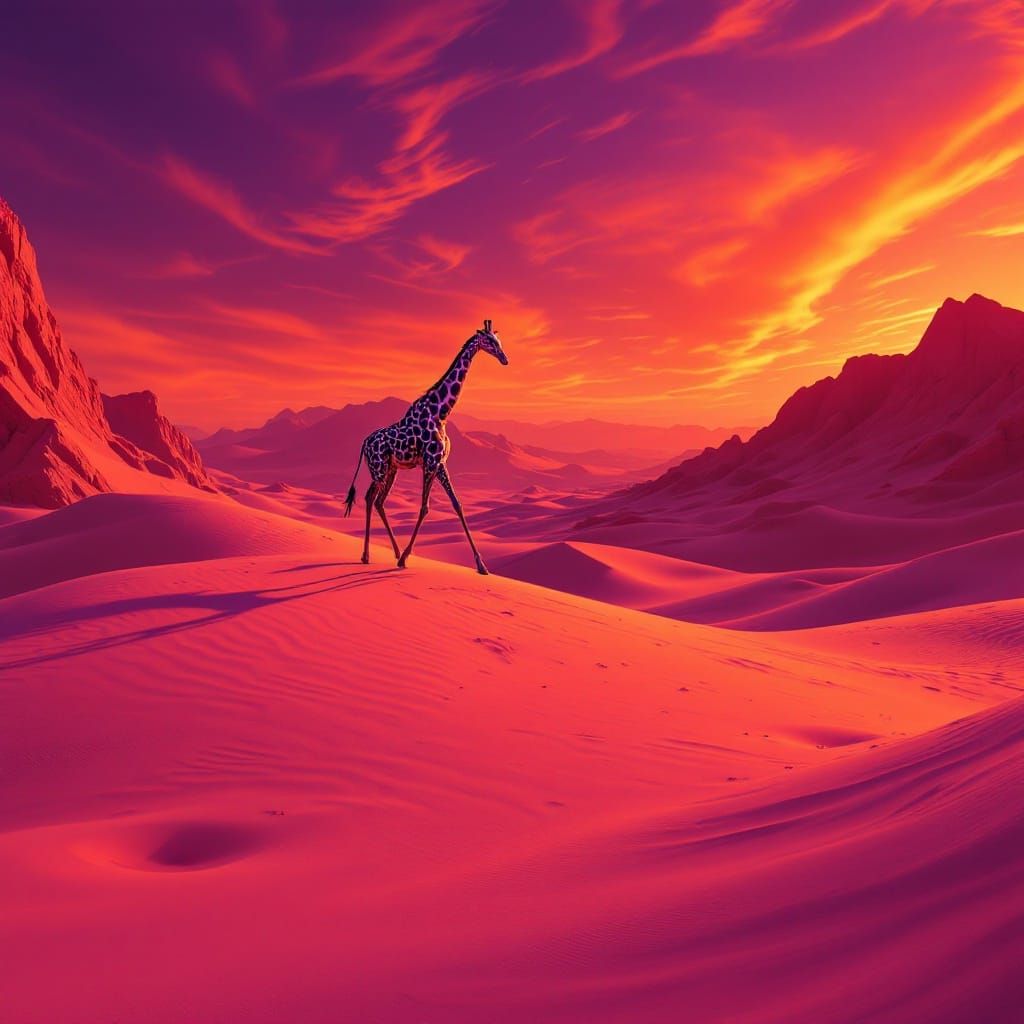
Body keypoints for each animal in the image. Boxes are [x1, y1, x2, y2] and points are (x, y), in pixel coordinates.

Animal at [343, 319, 509, 575]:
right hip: (379, 469)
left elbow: (457, 504)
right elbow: (424, 507)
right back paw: (368, 555)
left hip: (391, 470)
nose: (504, 358)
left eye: (499, 340)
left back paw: (392, 552)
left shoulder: (440, 463)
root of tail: (364, 443)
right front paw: (405, 559)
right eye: (490, 341)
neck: (441, 412)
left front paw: (481, 565)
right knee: (370, 498)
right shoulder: (430, 462)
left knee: (378, 501)